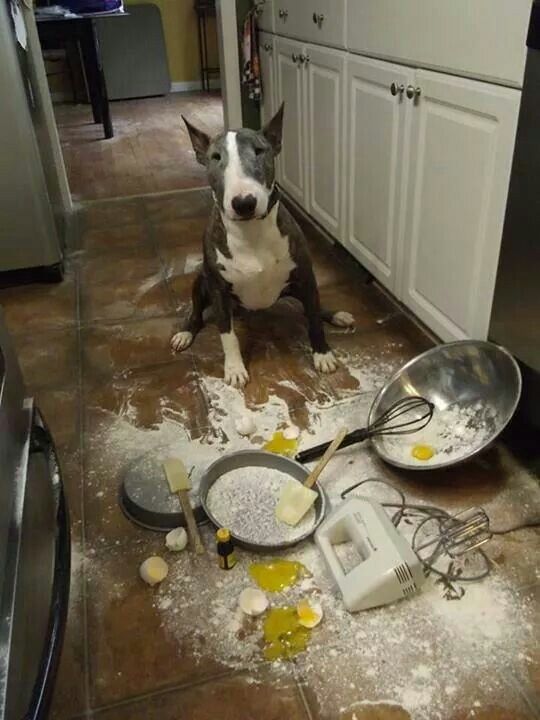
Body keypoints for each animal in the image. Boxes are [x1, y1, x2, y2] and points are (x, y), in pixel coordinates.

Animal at [170, 103, 354, 386]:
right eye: (215, 157)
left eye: (259, 150)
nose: (244, 203)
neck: (251, 232)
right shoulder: (219, 291)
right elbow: (227, 335)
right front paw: (234, 369)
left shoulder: (306, 277)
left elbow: (313, 318)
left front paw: (322, 354)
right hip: (200, 281)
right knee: (197, 312)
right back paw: (185, 333)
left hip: (295, 287)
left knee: (313, 307)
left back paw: (337, 315)